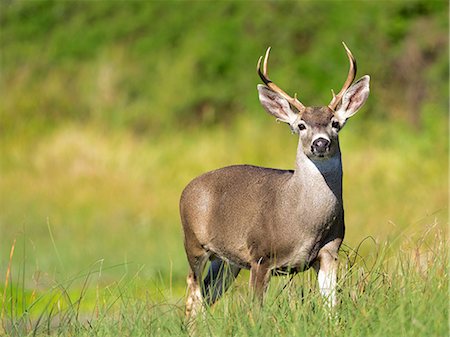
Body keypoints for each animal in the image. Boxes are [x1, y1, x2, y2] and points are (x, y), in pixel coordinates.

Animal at [179, 42, 370, 318]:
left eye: (335, 123)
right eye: (301, 125)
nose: (320, 143)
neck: (302, 222)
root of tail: (186, 188)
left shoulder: (329, 251)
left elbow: (331, 306)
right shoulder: (260, 254)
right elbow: (255, 311)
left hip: (227, 261)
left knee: (207, 293)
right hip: (194, 243)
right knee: (193, 294)